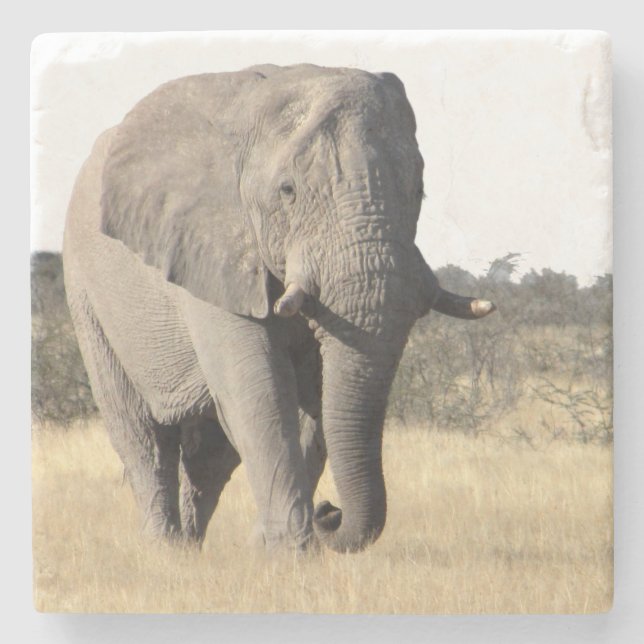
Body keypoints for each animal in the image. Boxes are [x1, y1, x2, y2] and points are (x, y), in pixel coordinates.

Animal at [63, 64, 495, 553]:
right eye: (287, 190)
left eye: (419, 190)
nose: (330, 511)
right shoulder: (213, 248)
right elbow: (261, 392)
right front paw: (291, 552)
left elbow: (315, 400)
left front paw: (270, 549)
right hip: (85, 294)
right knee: (142, 438)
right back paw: (166, 552)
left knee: (209, 457)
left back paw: (192, 549)